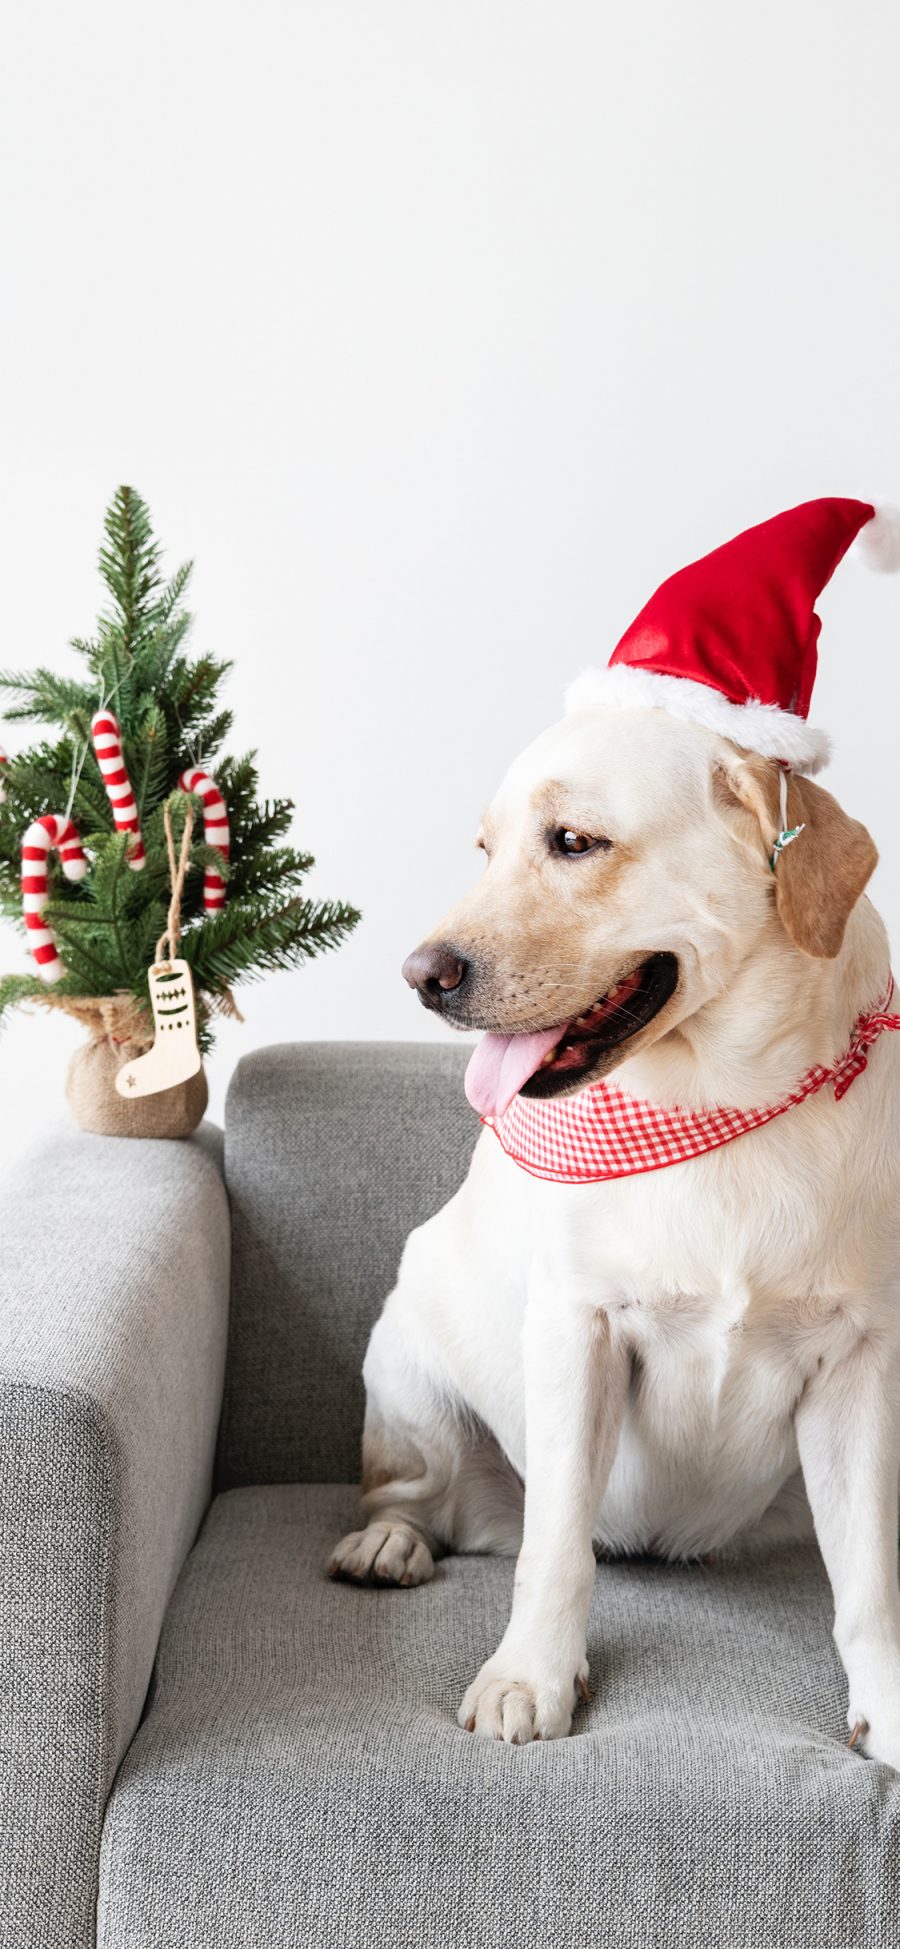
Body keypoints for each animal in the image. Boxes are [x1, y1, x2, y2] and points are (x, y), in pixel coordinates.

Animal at [329, 495, 900, 1761]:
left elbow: (869, 1577)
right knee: (426, 1495)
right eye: (486, 848)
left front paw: (890, 1704)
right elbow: (554, 1552)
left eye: (575, 842)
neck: (723, 1100)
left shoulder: (859, 1367)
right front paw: (530, 1677)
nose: (421, 975)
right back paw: (389, 1540)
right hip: (409, 1359)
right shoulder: (579, 1330)